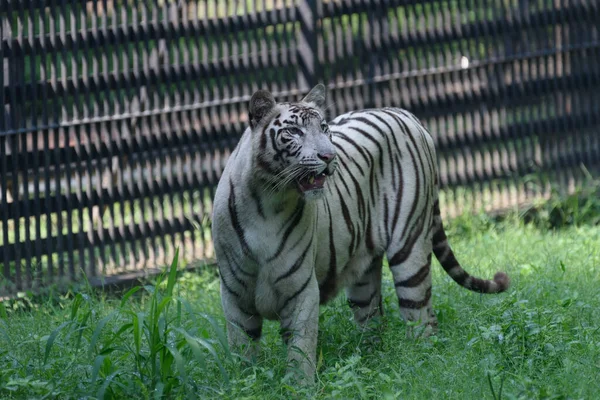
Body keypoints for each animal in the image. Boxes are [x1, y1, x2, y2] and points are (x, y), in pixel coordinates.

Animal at [213, 84, 508, 382]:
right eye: (294, 131)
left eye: (323, 128)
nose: (329, 156)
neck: (268, 201)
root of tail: (403, 112)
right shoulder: (235, 295)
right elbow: (242, 353)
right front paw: (245, 382)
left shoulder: (301, 289)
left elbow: (300, 351)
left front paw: (300, 386)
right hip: (363, 275)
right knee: (374, 320)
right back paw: (371, 363)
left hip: (410, 249)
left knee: (422, 320)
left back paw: (422, 367)